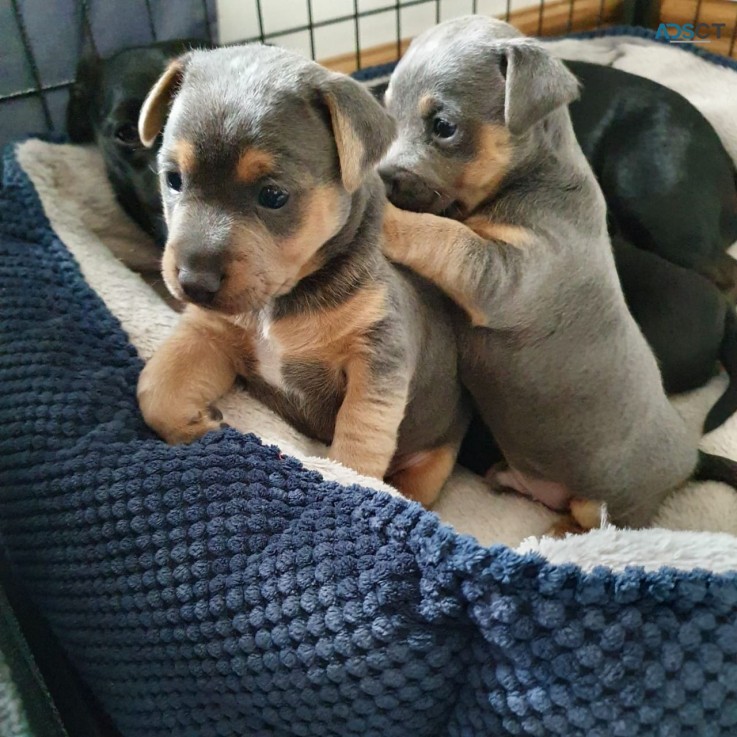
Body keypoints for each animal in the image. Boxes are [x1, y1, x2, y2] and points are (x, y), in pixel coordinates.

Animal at [135, 43, 468, 504]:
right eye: (173, 179)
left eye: (273, 196)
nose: (193, 284)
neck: (279, 303)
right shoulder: (208, 331)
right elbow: (157, 387)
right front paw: (196, 423)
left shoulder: (377, 358)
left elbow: (359, 442)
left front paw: (354, 484)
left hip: (433, 459)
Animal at [376, 15, 736, 524]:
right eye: (386, 114)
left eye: (443, 126)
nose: (384, 178)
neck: (529, 181)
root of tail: (689, 460)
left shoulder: (506, 274)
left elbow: (443, 234)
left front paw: (384, 214)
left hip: (605, 502)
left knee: (602, 527)